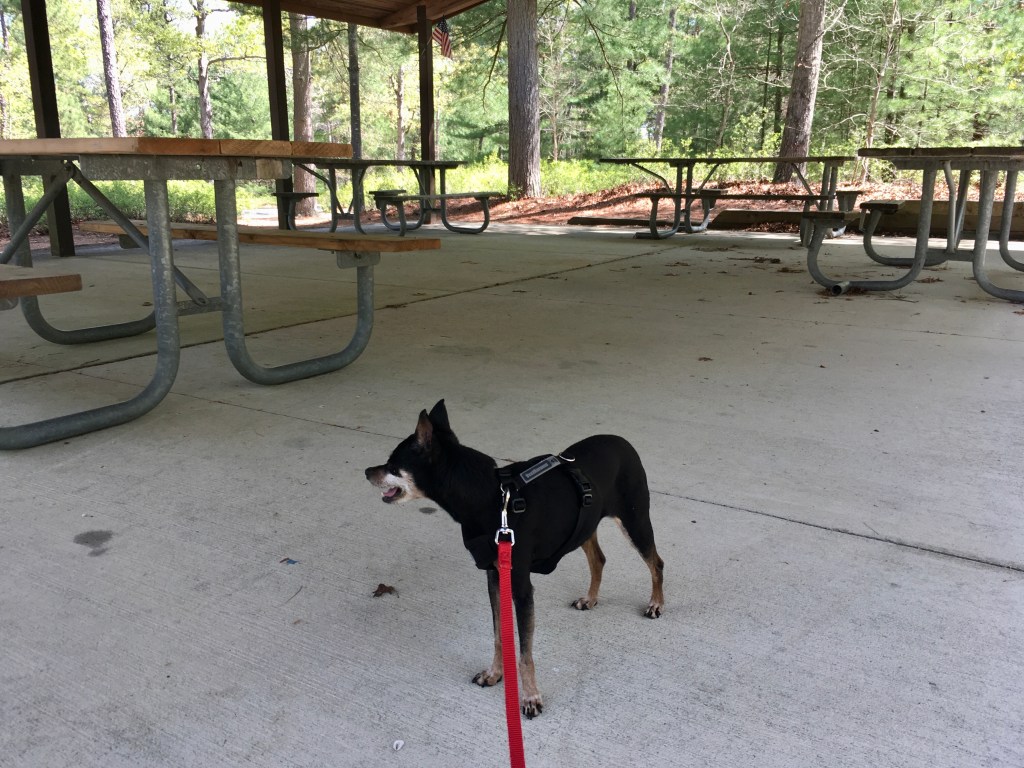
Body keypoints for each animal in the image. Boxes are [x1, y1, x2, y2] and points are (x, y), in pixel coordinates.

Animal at [364, 400, 664, 718]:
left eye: (393, 465)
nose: (367, 471)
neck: (489, 499)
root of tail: (623, 441)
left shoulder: (521, 586)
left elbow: (524, 653)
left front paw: (531, 697)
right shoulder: (494, 577)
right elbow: (499, 635)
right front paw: (495, 673)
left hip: (634, 519)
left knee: (656, 562)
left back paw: (656, 603)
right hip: (586, 523)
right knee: (599, 560)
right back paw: (591, 598)